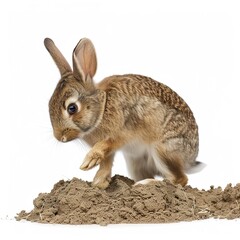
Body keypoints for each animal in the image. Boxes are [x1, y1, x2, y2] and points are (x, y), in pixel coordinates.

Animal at [44, 37, 201, 189]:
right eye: (50, 103)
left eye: (72, 108)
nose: (59, 137)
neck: (103, 107)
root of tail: (191, 157)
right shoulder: (111, 151)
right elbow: (106, 162)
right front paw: (98, 183)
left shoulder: (122, 133)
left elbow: (105, 145)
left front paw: (89, 160)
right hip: (135, 162)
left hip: (163, 149)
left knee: (179, 179)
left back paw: (145, 184)